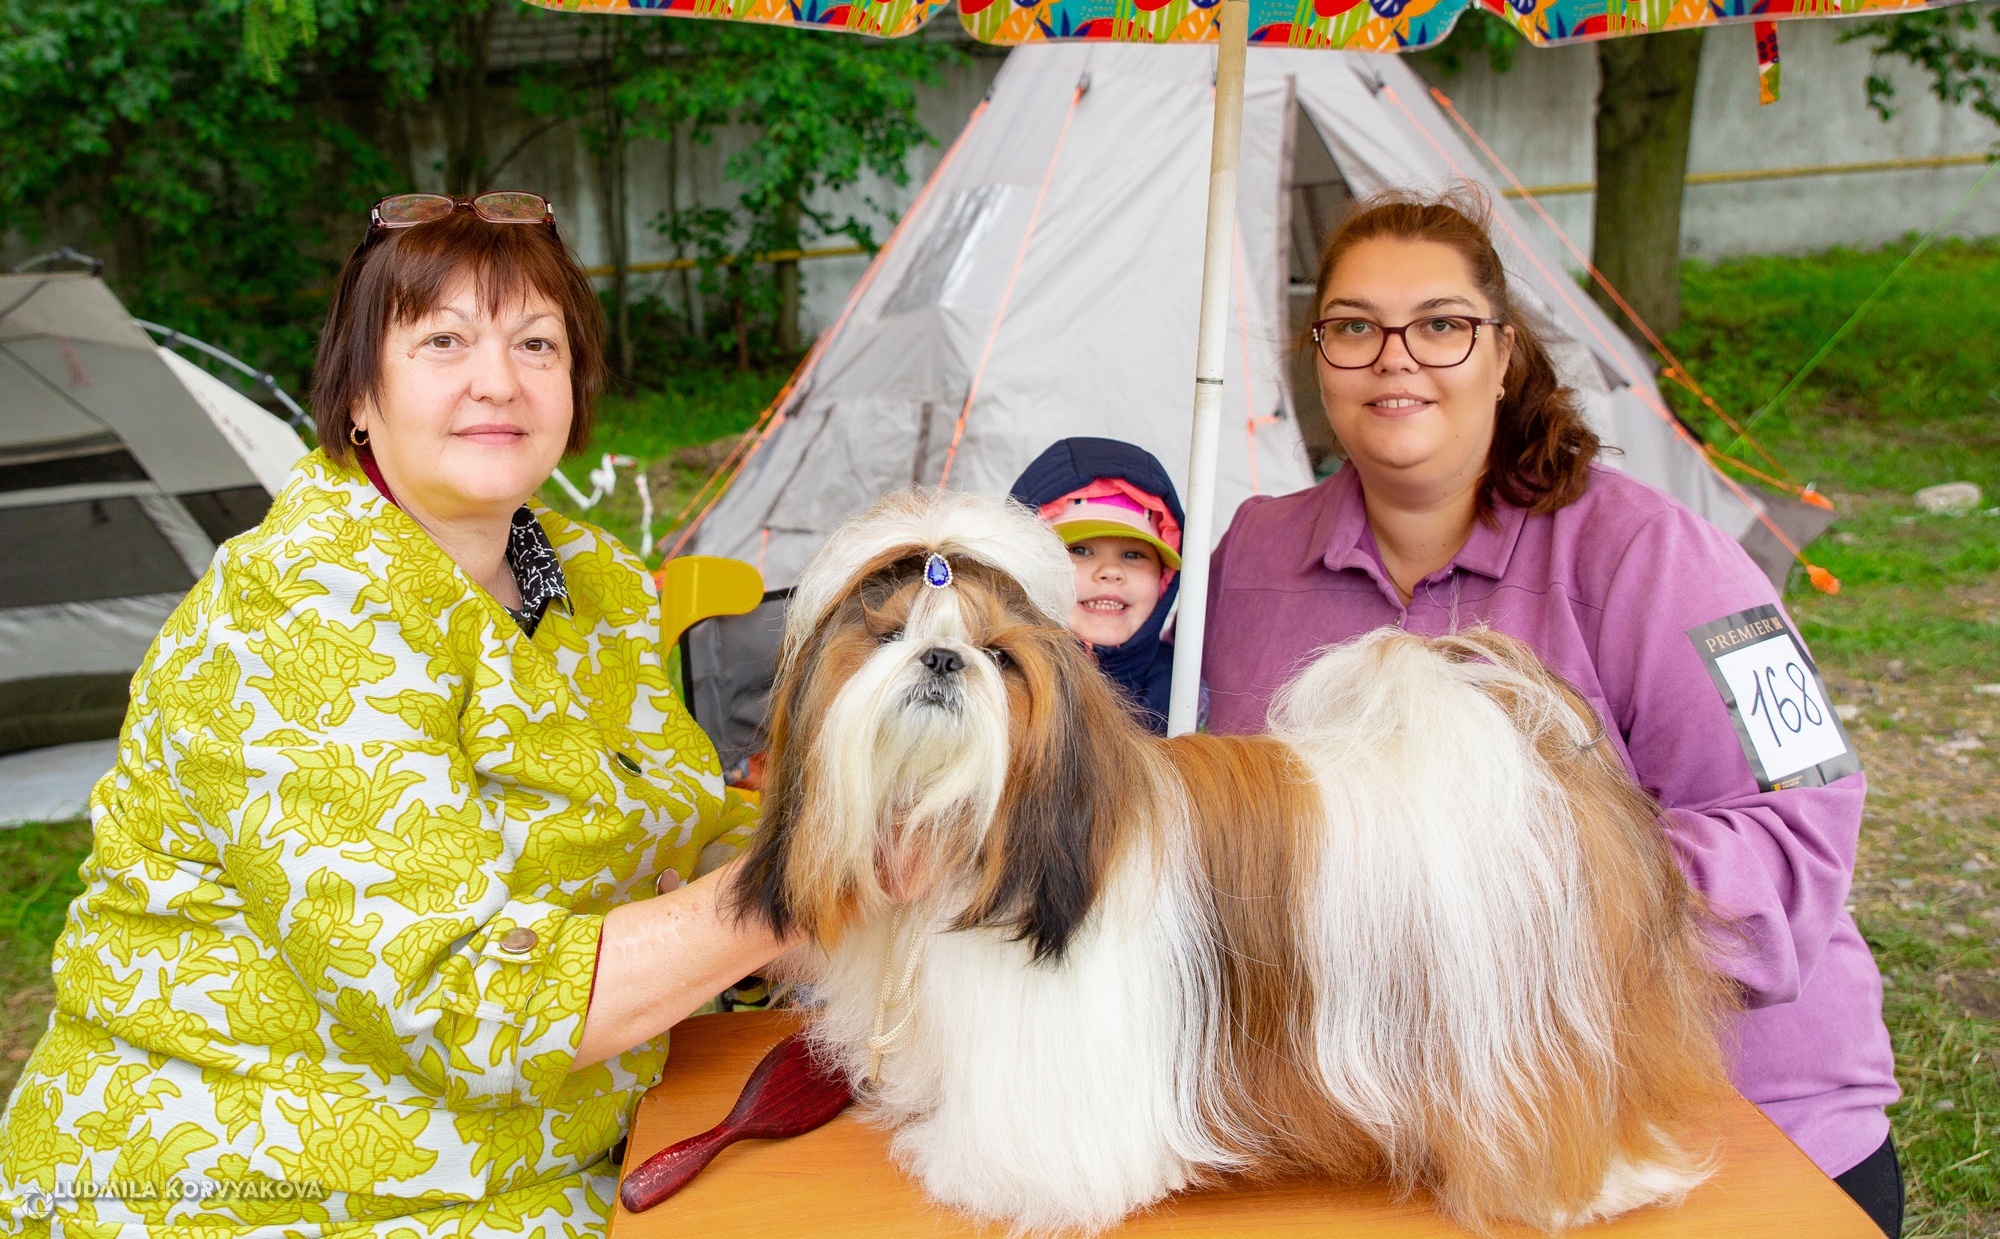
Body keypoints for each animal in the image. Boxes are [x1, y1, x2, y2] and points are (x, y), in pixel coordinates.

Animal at [736, 489, 1736, 1231]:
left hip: (1525, 1022)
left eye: (998, 656)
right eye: (890, 634)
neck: (998, 835)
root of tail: (1536, 755)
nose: (942, 659)